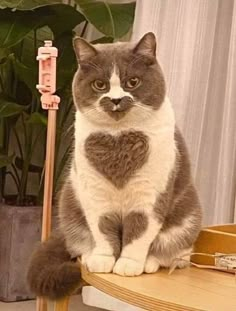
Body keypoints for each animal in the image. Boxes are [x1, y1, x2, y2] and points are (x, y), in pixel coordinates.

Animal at [27, 32, 201, 300]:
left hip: (188, 218)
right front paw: (103, 259)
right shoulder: (94, 194)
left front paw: (128, 263)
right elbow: (101, 228)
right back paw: (89, 256)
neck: (118, 140)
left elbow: (139, 232)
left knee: (176, 254)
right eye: (100, 85)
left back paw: (150, 262)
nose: (117, 99)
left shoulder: (149, 196)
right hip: (69, 203)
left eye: (133, 82)